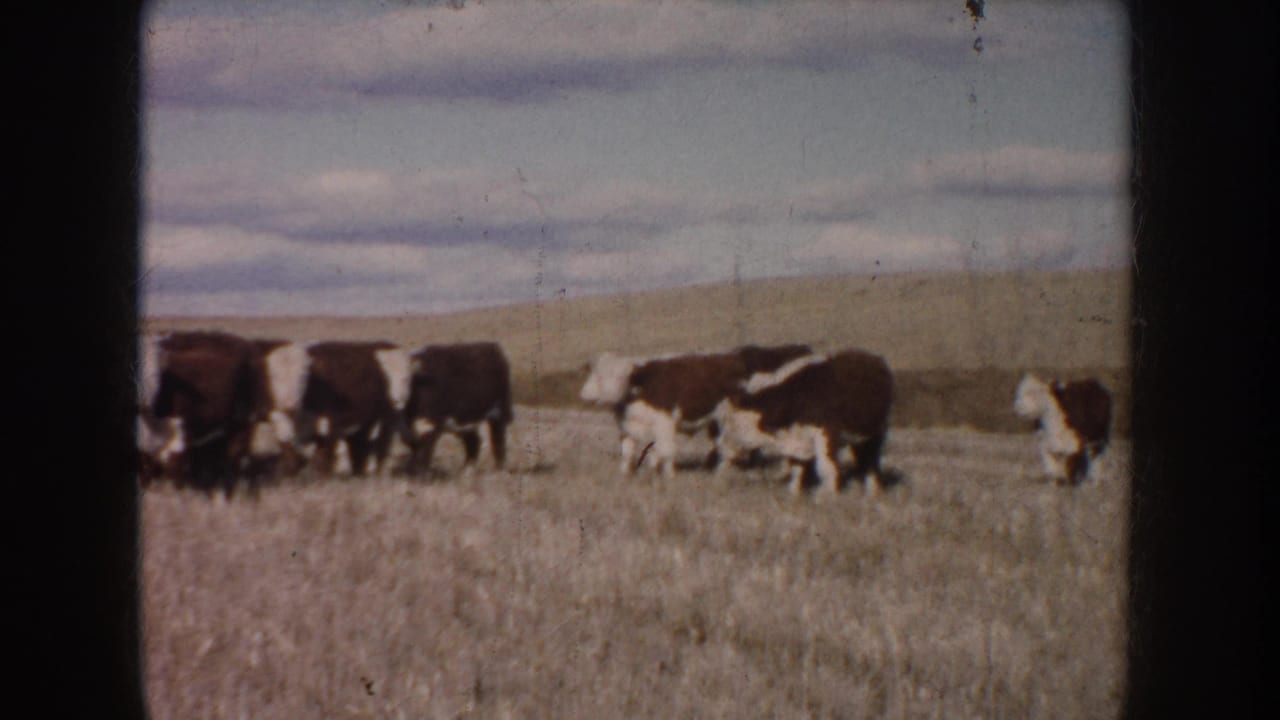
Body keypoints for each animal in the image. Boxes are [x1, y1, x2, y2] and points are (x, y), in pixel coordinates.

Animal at [403, 342, 513, 478]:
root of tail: (492, 346)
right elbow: (415, 450)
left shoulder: (430, 424)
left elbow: (425, 451)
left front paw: (422, 475)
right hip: (467, 418)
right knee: (473, 441)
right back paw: (467, 472)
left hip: (498, 412)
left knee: (498, 442)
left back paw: (498, 471)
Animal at [590, 344, 813, 480]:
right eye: (598, 377)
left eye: (622, 377)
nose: (598, 397)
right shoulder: (627, 427)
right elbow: (628, 453)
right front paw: (626, 475)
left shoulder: (664, 424)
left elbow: (665, 451)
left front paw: (669, 476)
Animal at [715, 349, 894, 496]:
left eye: (728, 422)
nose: (721, 447)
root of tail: (875, 359)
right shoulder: (796, 437)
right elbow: (796, 469)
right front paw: (794, 493)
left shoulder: (827, 433)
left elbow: (825, 467)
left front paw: (827, 496)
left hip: (876, 433)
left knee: (871, 461)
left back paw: (873, 491)